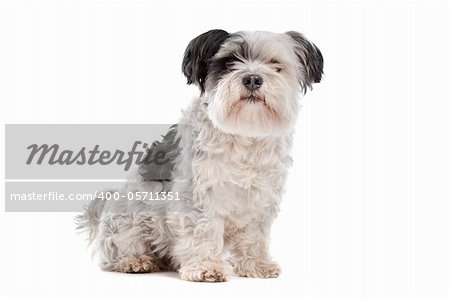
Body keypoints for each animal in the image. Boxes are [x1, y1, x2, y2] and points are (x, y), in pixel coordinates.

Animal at [77, 29, 324, 282]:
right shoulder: (198, 196)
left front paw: (256, 264)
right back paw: (135, 261)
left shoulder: (260, 199)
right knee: (116, 250)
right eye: (229, 63)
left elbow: (253, 236)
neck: (243, 134)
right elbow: (203, 230)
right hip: (131, 220)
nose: (253, 79)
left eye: (276, 65)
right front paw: (207, 267)